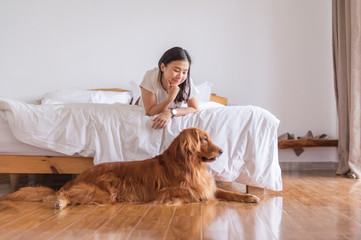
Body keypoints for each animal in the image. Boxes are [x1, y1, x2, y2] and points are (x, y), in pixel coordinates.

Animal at [4, 127, 260, 208]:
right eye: (204, 139)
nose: (222, 151)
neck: (189, 165)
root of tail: (79, 176)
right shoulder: (168, 190)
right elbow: (188, 194)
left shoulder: (210, 187)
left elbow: (228, 193)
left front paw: (250, 197)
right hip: (100, 192)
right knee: (63, 194)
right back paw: (60, 201)